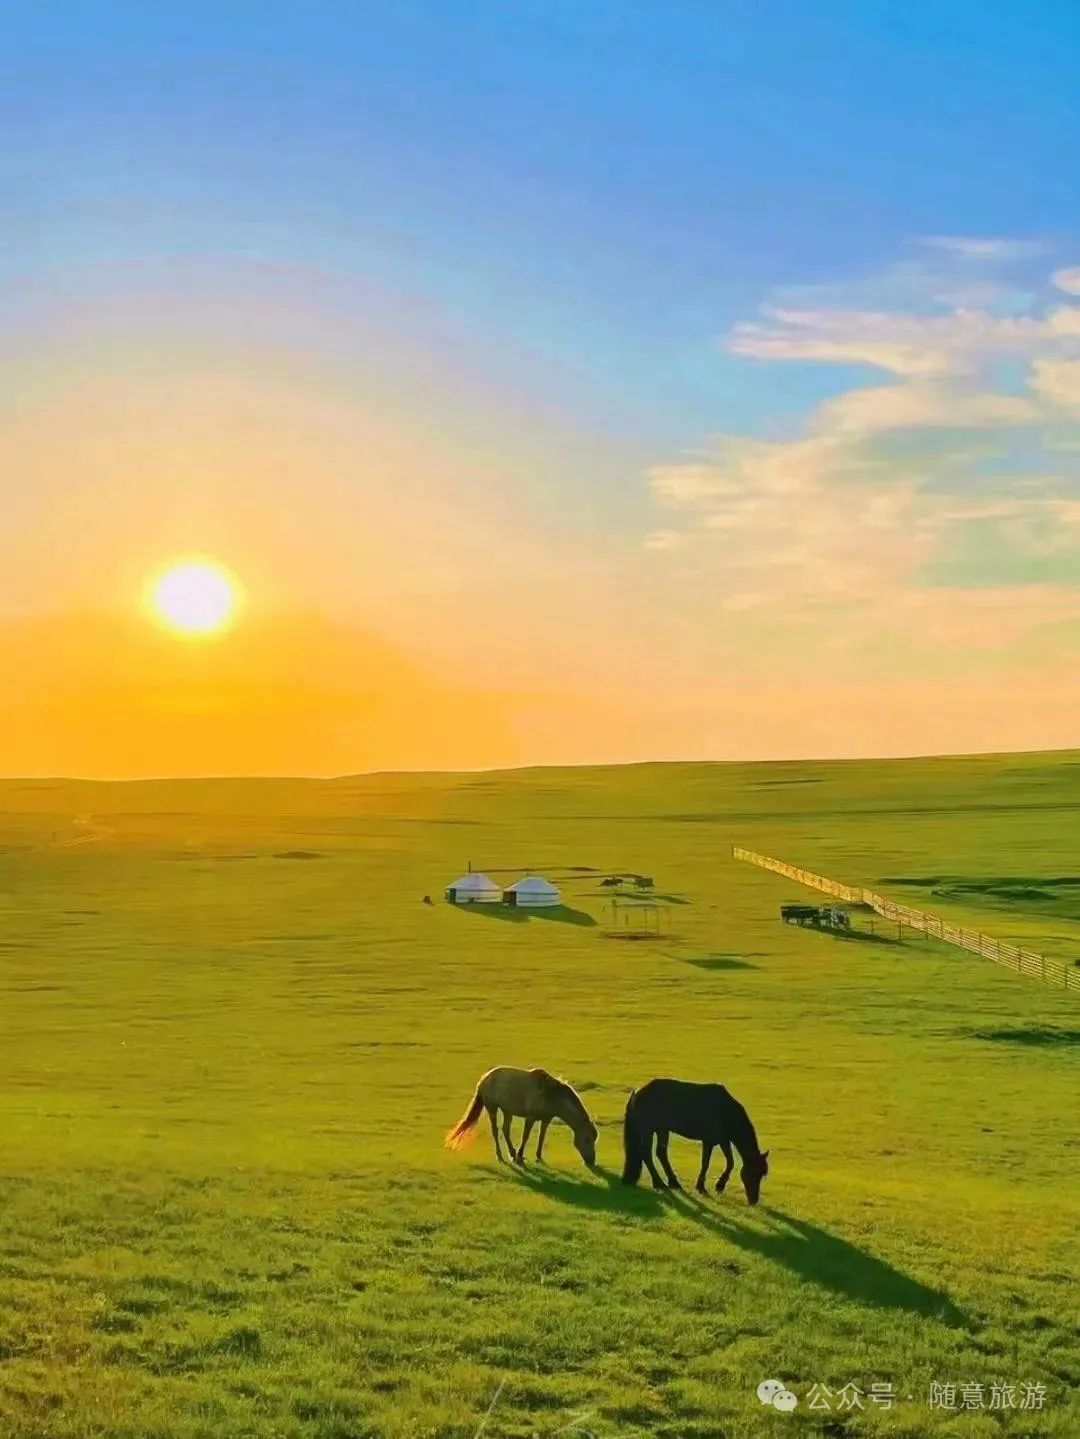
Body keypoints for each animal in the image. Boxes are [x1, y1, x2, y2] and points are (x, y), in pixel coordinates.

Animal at [445, 1070, 601, 1168]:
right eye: (587, 1139)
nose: (591, 1161)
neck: (552, 1095)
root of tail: (483, 1079)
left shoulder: (546, 1119)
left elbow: (541, 1137)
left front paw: (538, 1157)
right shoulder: (530, 1118)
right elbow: (525, 1136)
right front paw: (520, 1157)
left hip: (507, 1110)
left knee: (505, 1130)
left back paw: (512, 1153)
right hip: (492, 1108)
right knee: (495, 1130)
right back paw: (501, 1156)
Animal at [624, 1082, 770, 1203]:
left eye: (762, 1174)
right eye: (753, 1173)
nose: (754, 1200)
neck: (725, 1111)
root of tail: (637, 1091)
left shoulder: (724, 1141)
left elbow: (730, 1162)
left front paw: (720, 1185)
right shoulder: (709, 1141)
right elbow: (705, 1163)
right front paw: (701, 1187)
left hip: (662, 1130)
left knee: (660, 1153)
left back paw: (673, 1183)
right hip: (648, 1130)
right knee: (646, 1154)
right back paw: (659, 1183)